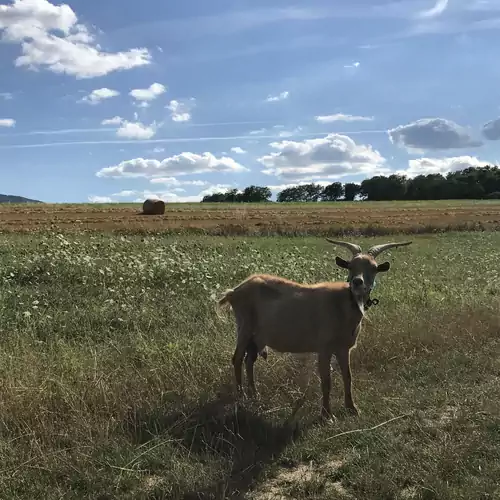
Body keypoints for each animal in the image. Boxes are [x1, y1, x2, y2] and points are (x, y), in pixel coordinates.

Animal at [217, 238, 412, 418]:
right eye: (350, 266)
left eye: (373, 268)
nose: (357, 282)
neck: (342, 305)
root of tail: (233, 291)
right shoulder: (324, 347)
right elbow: (326, 381)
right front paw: (327, 415)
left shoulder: (344, 348)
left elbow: (348, 377)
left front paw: (352, 408)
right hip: (244, 327)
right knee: (237, 359)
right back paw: (241, 397)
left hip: (257, 336)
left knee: (249, 361)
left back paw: (254, 396)